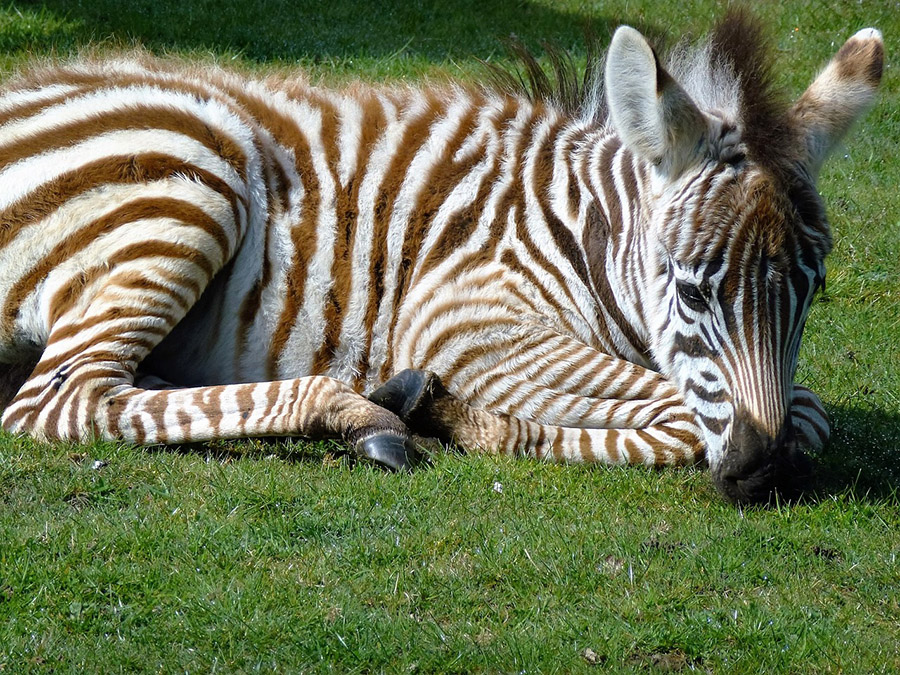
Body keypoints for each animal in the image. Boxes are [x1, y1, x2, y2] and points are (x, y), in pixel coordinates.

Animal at [0, 12, 883, 503]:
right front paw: (458, 415)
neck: (578, 227)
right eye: (693, 292)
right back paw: (363, 412)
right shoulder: (460, 314)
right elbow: (682, 411)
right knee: (64, 400)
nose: (763, 476)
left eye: (812, 292)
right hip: (190, 182)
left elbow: (804, 412)